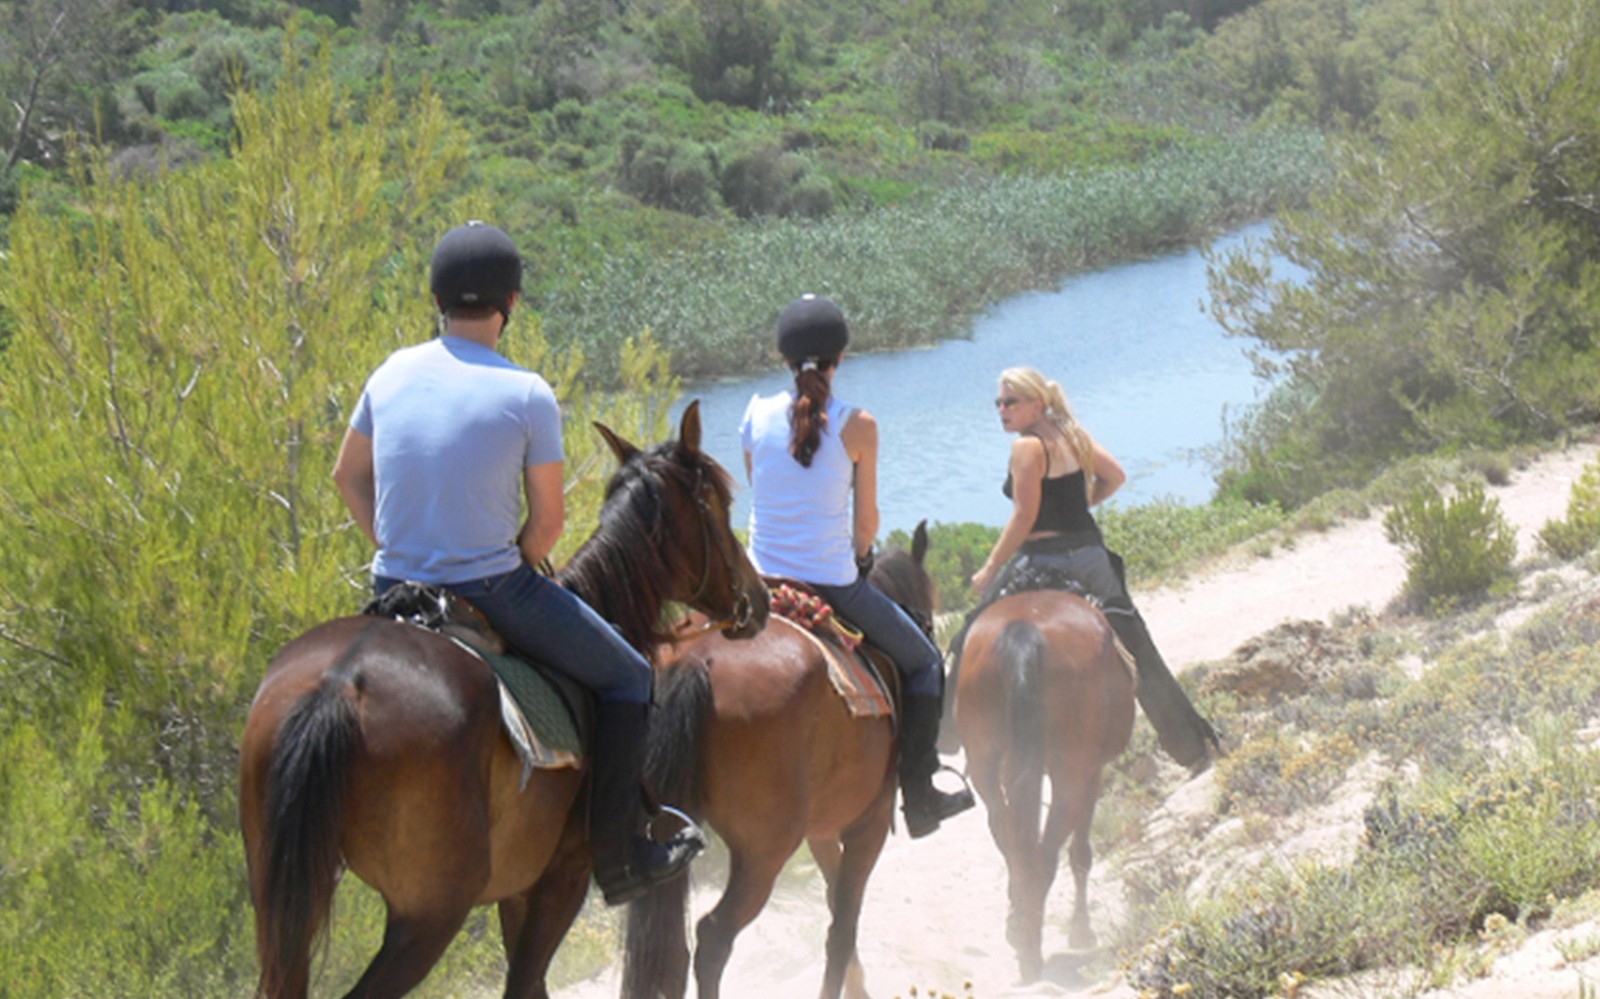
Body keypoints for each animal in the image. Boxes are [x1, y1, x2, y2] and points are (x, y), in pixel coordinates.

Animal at [237, 401, 769, 999]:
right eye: (720, 503)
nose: (758, 597)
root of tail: (342, 680)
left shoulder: (518, 886)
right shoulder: (563, 875)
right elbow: (527, 978)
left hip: (283, 898)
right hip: (429, 914)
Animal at [620, 521, 938, 999]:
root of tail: (698, 657)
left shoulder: (821, 831)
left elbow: (834, 905)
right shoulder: (870, 824)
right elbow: (843, 925)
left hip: (668, 835)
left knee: (667, 950)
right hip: (765, 850)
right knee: (714, 936)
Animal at [953, 589, 1135, 983]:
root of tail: (1023, 632)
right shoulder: (1092, 772)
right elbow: (1080, 852)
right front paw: (1081, 930)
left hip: (987, 766)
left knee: (1014, 843)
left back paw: (1023, 933)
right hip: (1072, 771)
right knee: (1047, 853)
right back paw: (1032, 950)